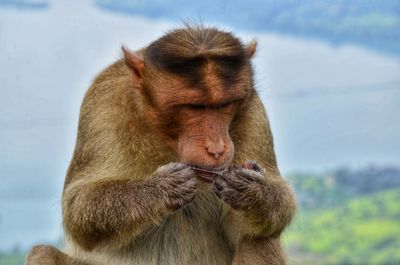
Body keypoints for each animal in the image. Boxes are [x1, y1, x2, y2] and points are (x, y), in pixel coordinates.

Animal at [24, 24, 294, 264]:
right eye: (194, 107)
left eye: (225, 104)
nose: (216, 148)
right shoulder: (104, 97)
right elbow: (78, 208)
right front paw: (162, 188)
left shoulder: (253, 110)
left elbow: (253, 223)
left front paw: (253, 192)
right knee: (43, 253)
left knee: (260, 240)